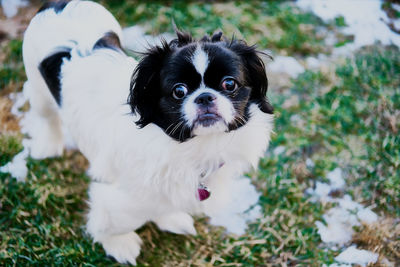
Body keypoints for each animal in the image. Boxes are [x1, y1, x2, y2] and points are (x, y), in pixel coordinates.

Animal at [21, 0, 274, 266]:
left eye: (229, 84)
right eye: (179, 91)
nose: (205, 97)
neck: (190, 147)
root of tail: (58, 4)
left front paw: (171, 219)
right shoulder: (119, 192)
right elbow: (117, 219)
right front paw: (118, 243)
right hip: (38, 89)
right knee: (44, 113)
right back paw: (48, 146)